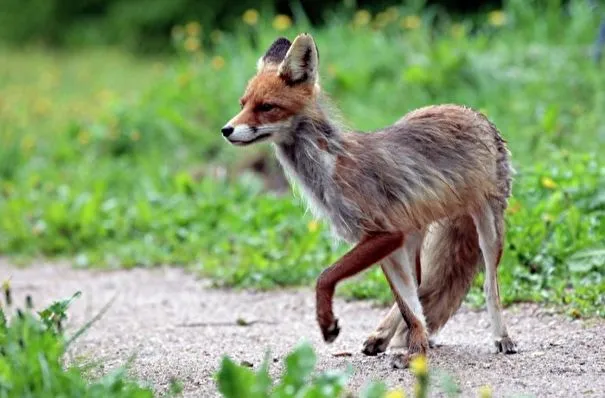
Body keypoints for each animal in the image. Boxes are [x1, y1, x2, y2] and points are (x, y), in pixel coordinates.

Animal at [219, 33, 516, 366]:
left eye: (266, 107)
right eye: (243, 104)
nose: (226, 130)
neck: (331, 167)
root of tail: (472, 111)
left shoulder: (386, 234)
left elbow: (325, 277)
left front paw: (329, 323)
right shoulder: (387, 240)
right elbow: (409, 306)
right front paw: (416, 349)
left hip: (488, 229)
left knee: (490, 285)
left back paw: (501, 337)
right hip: (415, 235)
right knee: (420, 286)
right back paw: (386, 337)